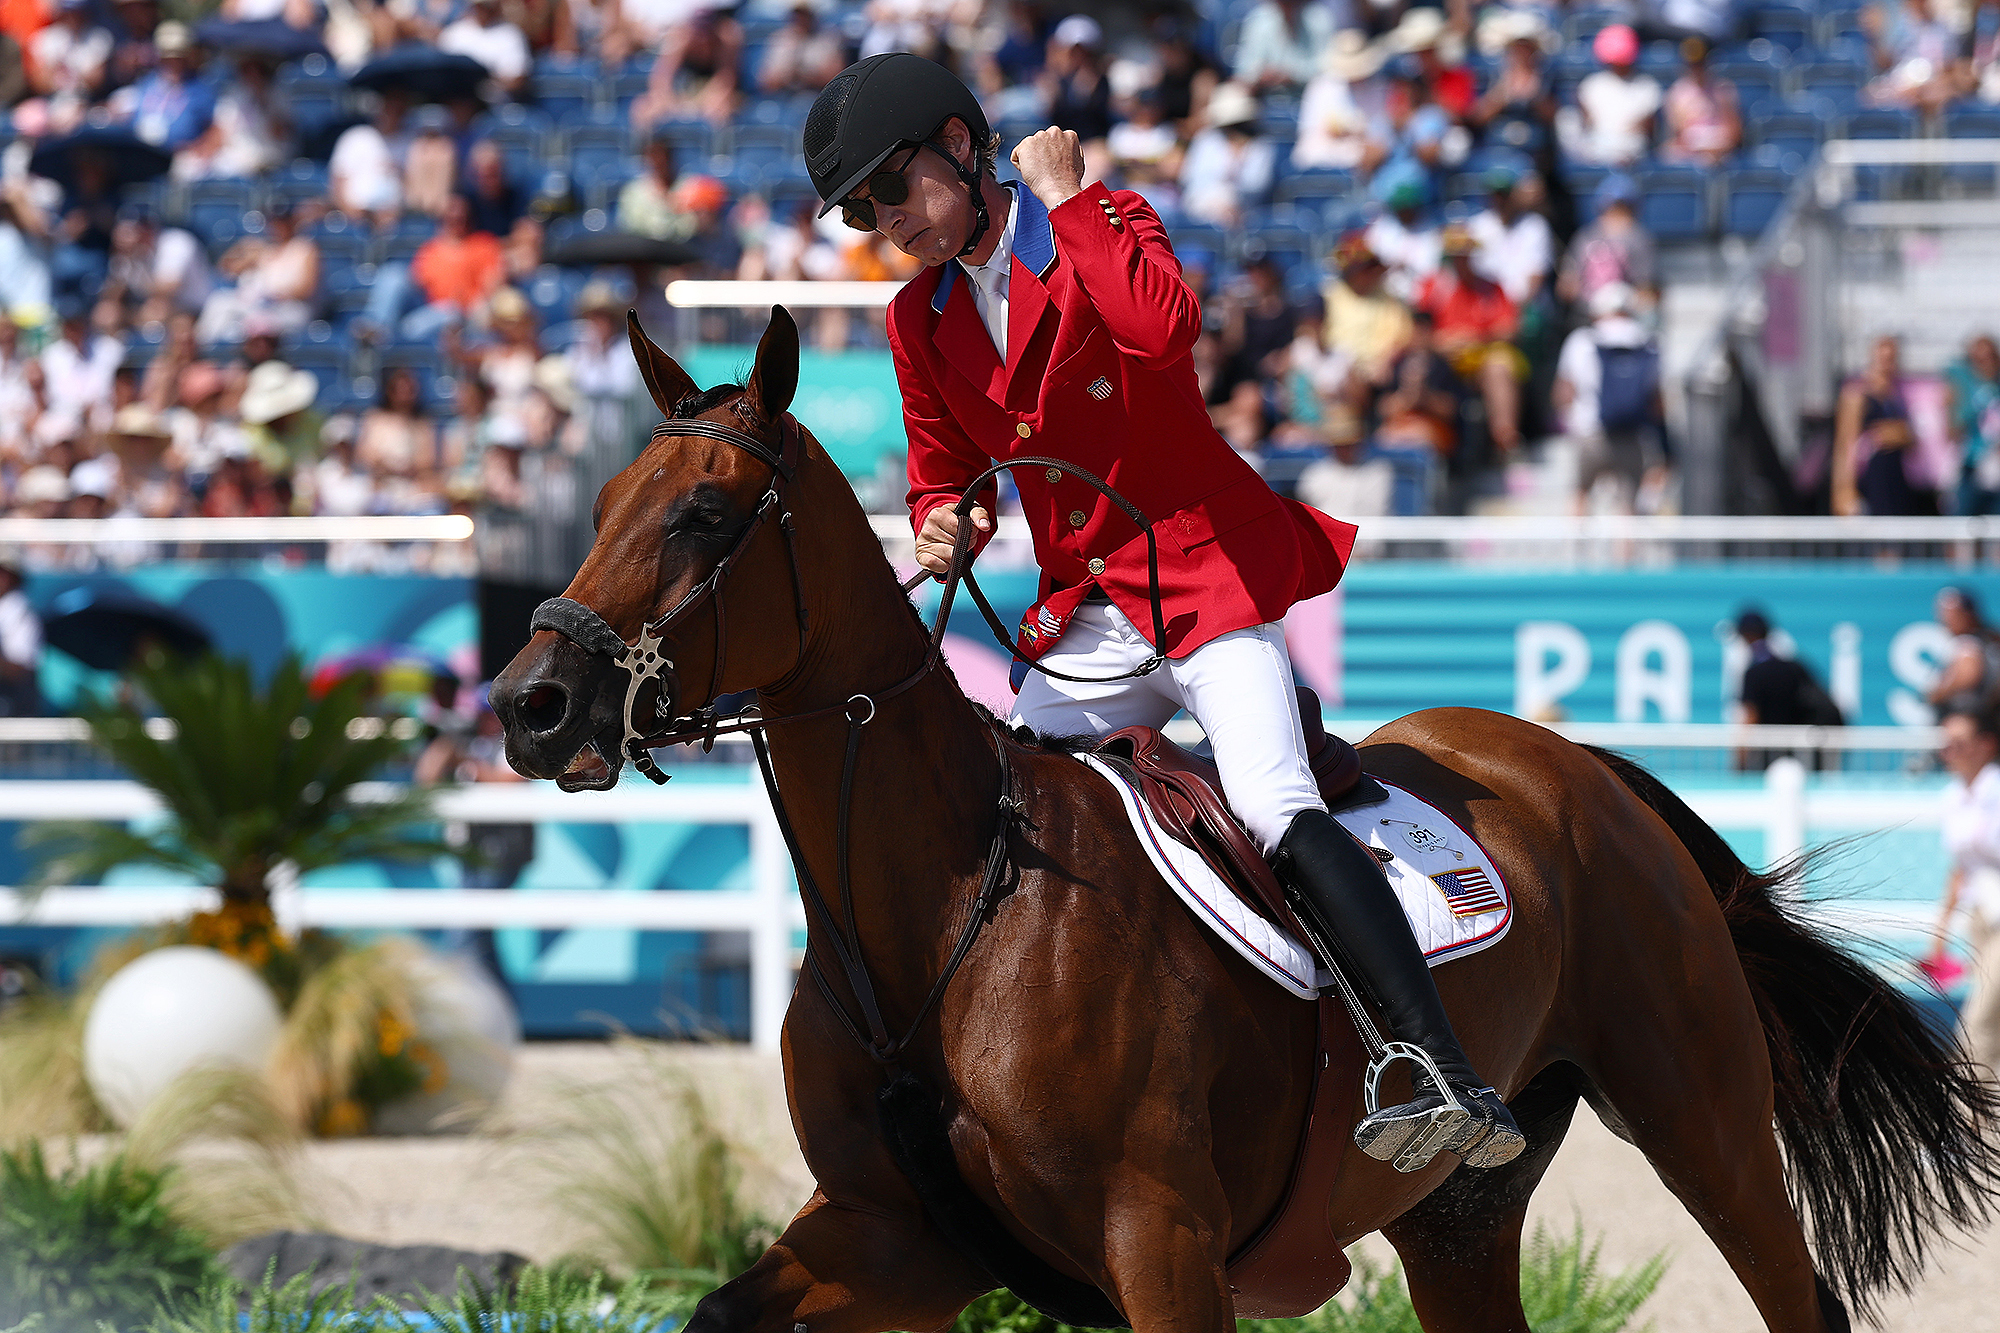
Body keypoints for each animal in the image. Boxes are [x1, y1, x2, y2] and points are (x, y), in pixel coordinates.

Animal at [496, 306, 2000, 1328]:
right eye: (605, 500)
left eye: (704, 516)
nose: (531, 704)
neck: (944, 912)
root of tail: (1577, 767)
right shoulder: (891, 1235)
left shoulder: (1156, 1241)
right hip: (1464, 1218)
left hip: (1702, 1119)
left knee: (1791, 1286)